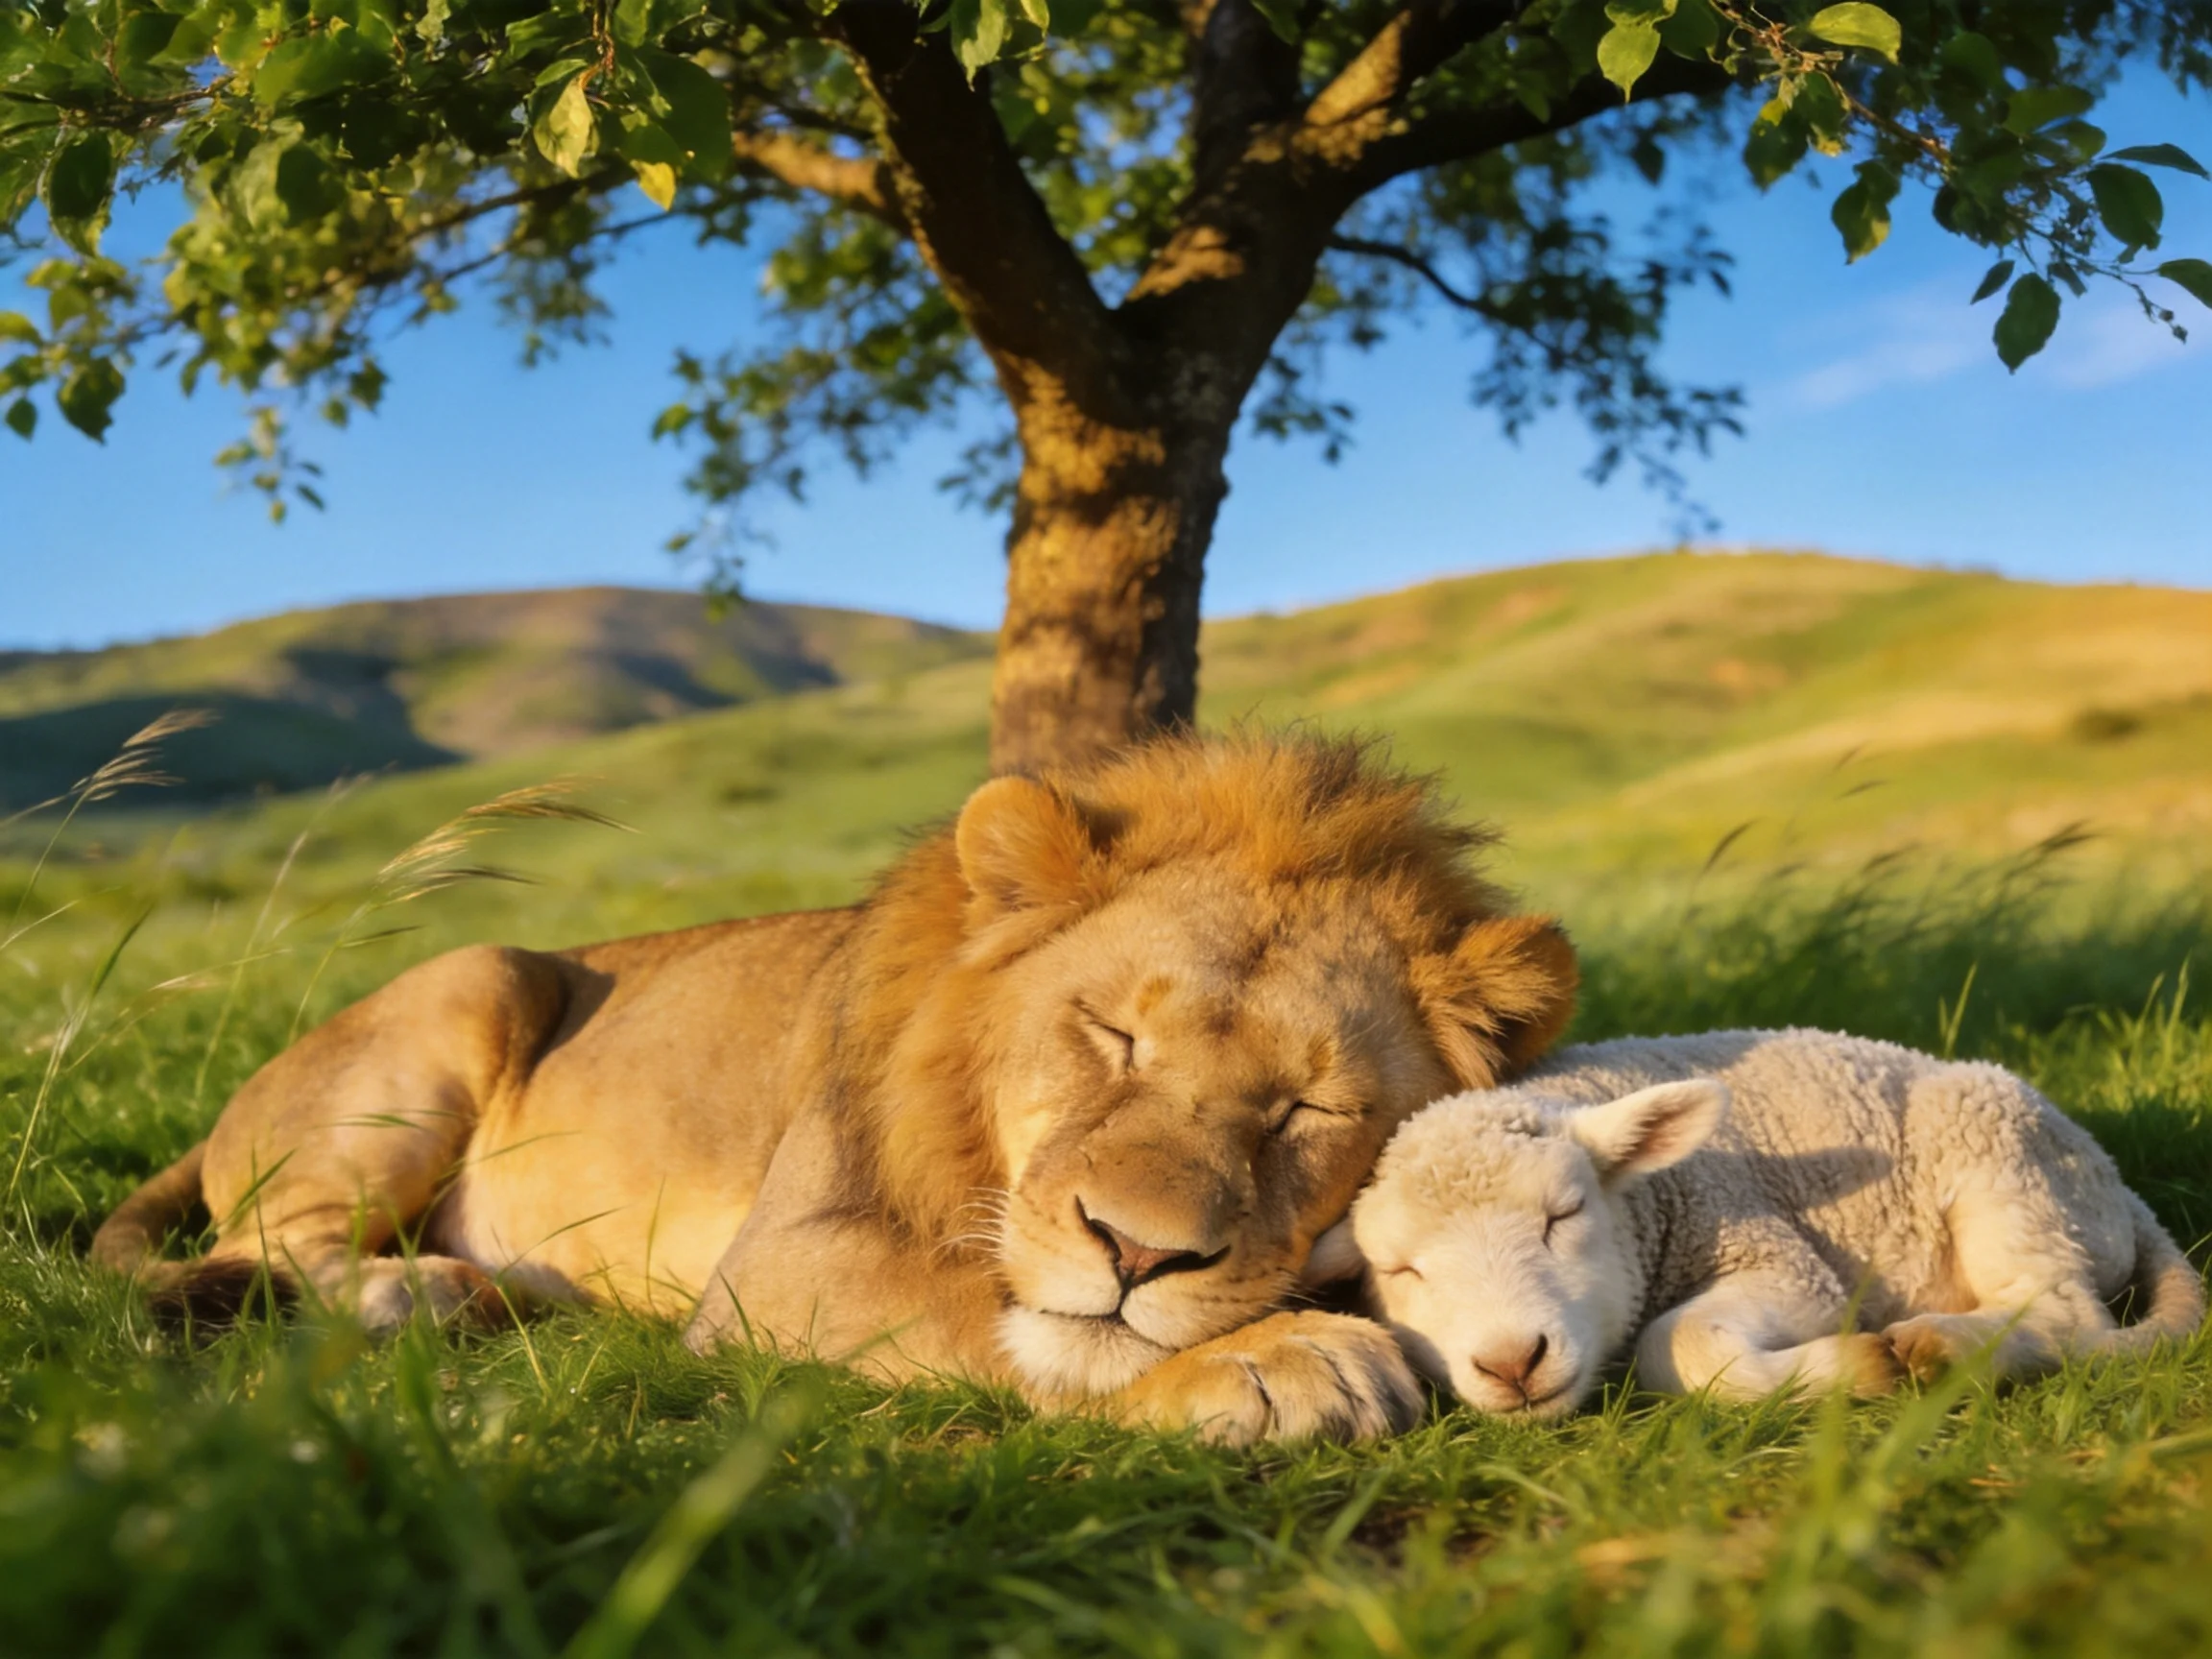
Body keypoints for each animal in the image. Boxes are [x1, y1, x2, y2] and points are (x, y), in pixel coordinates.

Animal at [93, 732, 1577, 1444]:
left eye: (1310, 1111)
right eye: (1113, 1036)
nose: (1137, 1252)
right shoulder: (783, 1264)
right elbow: (997, 1315)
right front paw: (1280, 1357)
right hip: (474, 978)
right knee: (260, 1242)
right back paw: (418, 1293)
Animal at [1305, 1028, 2205, 1417]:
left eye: (1565, 1214)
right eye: (1401, 1271)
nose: (1510, 1362)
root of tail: (2118, 1186)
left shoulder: (1776, 1252)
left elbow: (1676, 1341)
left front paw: (1859, 1366)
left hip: (2006, 1164)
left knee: (2067, 1315)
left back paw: (1944, 1347)